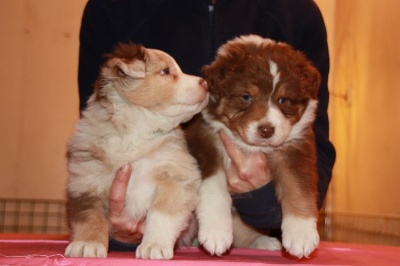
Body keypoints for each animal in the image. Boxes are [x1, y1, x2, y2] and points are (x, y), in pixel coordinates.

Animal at [65, 43, 209, 260]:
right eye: (165, 71)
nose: (206, 83)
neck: (136, 133)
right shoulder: (85, 181)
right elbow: (90, 216)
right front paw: (86, 244)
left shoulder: (176, 175)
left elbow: (162, 212)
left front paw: (154, 246)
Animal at [185, 35, 322, 258]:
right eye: (246, 97)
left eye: (283, 100)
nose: (266, 130)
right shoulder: (203, 139)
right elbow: (214, 185)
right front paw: (216, 233)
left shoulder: (294, 148)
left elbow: (297, 186)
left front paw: (301, 236)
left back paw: (264, 242)